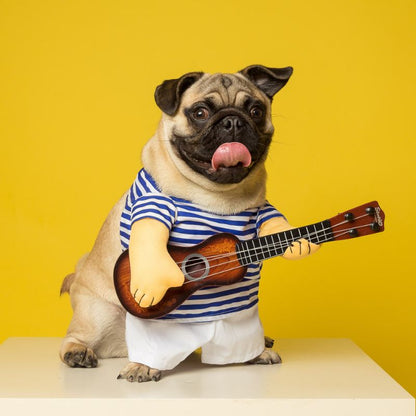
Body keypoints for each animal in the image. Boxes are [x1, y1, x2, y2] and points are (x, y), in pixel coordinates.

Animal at [59, 64, 318, 380]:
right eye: (200, 113)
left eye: (256, 111)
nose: (233, 121)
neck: (217, 197)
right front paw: (142, 366)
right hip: (99, 315)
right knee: (76, 337)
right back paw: (82, 353)